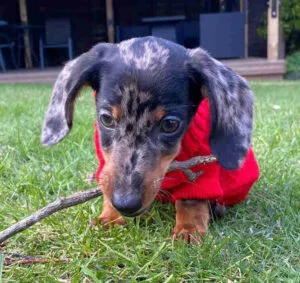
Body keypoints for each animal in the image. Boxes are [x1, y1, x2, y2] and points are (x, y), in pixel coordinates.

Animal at [41, 36, 258, 243]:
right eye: (106, 119)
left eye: (170, 124)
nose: (125, 204)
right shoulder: (106, 163)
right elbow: (107, 182)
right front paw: (110, 217)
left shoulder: (202, 163)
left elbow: (191, 199)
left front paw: (188, 229)